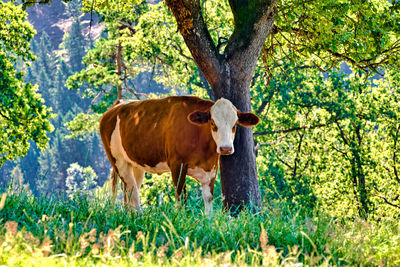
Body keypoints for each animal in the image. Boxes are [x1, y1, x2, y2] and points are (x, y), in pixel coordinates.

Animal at [99, 96, 260, 216]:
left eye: (235, 124)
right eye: (213, 123)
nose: (225, 148)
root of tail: (119, 103)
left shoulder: (212, 167)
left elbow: (208, 198)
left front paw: (209, 221)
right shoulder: (177, 164)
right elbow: (181, 196)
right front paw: (180, 218)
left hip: (136, 164)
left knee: (129, 189)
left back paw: (130, 215)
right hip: (118, 161)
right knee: (132, 190)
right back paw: (139, 216)